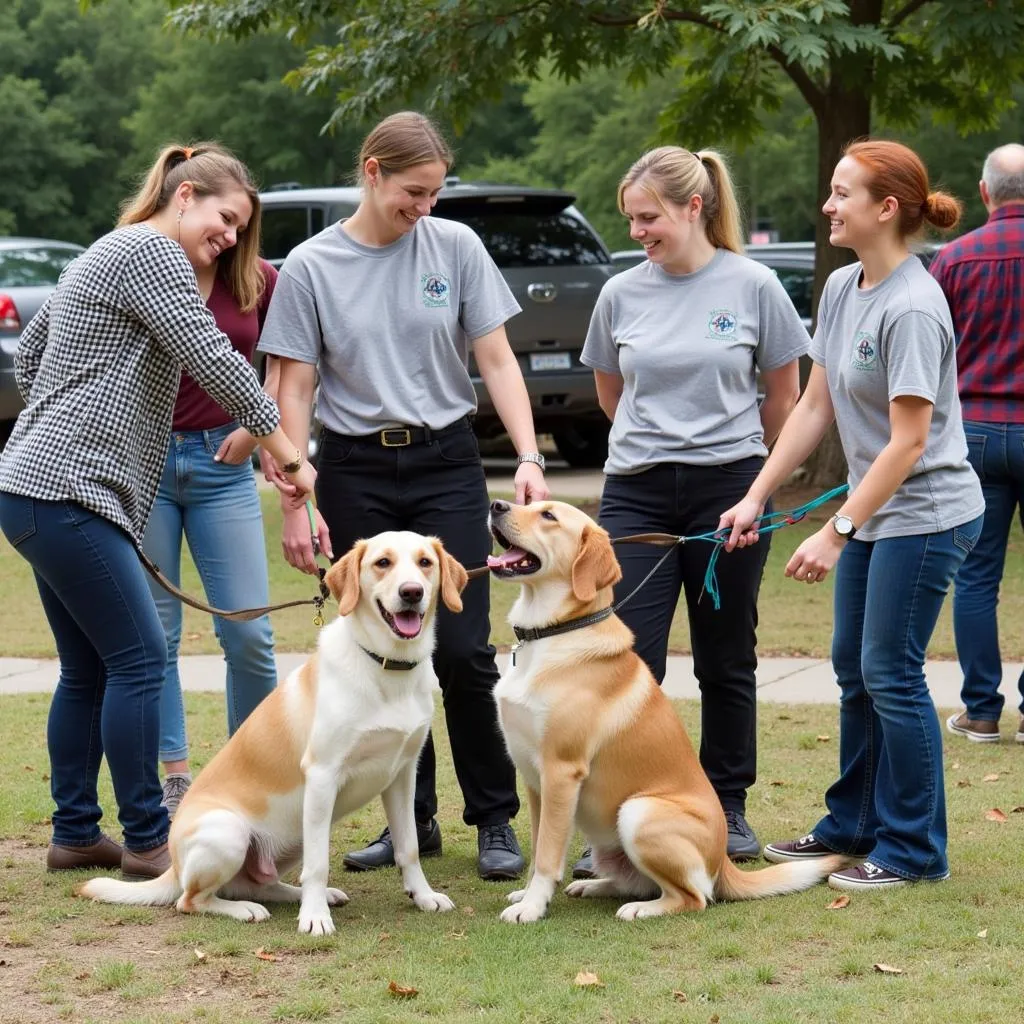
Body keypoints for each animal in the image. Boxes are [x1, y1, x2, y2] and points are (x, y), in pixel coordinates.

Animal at [81, 536, 466, 937]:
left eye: (425, 562)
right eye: (383, 563)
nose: (412, 592)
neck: (386, 667)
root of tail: (172, 864)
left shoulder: (401, 775)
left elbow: (409, 847)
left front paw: (423, 896)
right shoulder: (322, 775)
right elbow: (319, 864)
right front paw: (315, 917)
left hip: (291, 837)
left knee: (257, 884)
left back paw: (305, 896)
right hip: (231, 832)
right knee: (191, 901)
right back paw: (248, 910)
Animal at [487, 499, 847, 925]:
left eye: (548, 516)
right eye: (527, 502)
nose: (496, 504)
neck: (554, 633)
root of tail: (724, 865)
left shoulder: (561, 771)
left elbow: (546, 855)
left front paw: (532, 906)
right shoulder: (533, 779)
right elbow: (540, 847)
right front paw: (528, 894)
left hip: (638, 811)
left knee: (693, 897)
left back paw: (641, 909)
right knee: (639, 882)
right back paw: (593, 886)